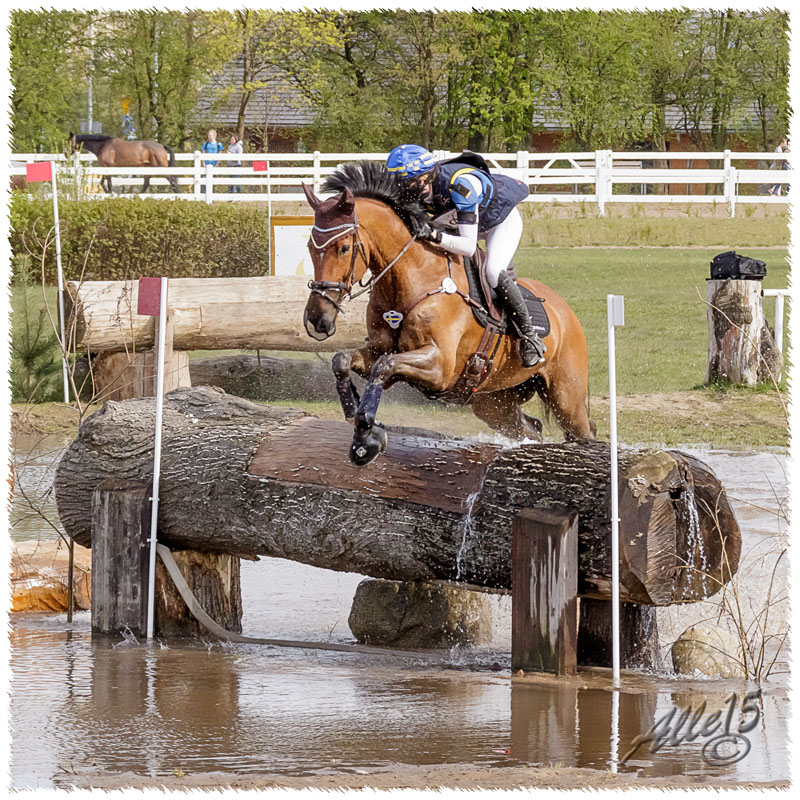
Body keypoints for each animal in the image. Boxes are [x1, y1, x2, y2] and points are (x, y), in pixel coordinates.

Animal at [300, 161, 592, 468]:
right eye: (309, 247)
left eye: (344, 248)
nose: (317, 319)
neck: (411, 276)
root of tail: (565, 311)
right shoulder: (379, 349)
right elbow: (342, 360)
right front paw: (357, 421)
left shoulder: (440, 366)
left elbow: (385, 366)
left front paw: (368, 435)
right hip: (493, 403)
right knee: (530, 429)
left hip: (566, 397)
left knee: (583, 431)